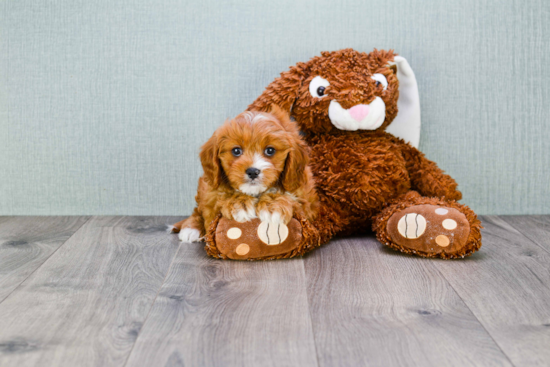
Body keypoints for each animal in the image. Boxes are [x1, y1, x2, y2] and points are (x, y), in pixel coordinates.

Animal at [172, 108, 320, 243]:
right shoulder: (211, 195)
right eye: (236, 151)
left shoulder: (308, 205)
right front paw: (239, 203)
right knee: (197, 210)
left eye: (270, 150)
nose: (253, 171)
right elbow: (218, 201)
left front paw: (272, 205)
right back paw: (190, 229)